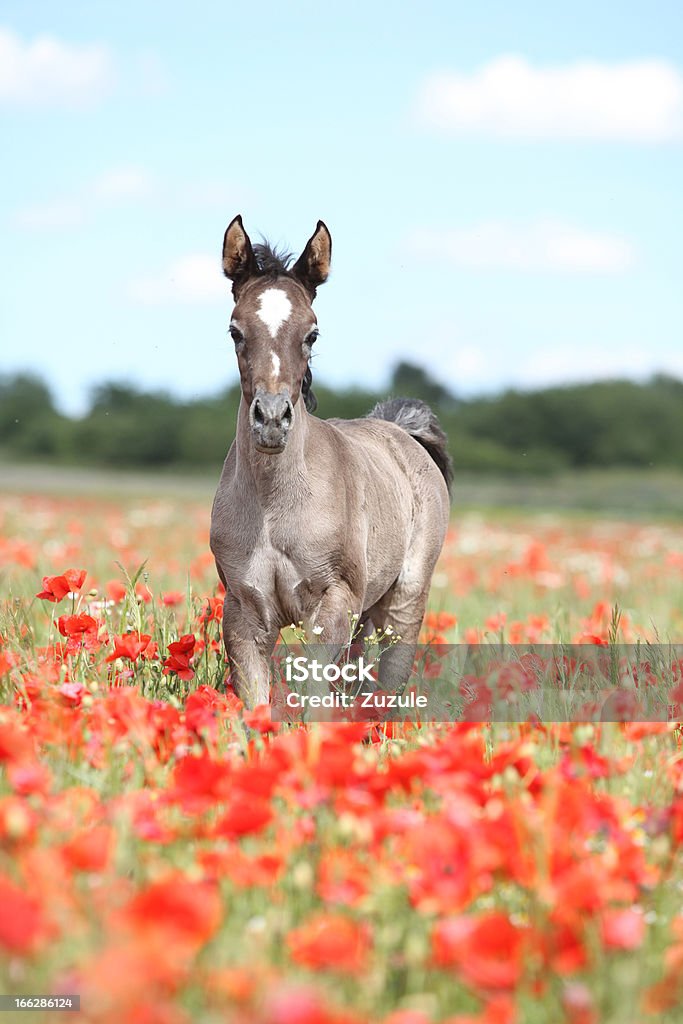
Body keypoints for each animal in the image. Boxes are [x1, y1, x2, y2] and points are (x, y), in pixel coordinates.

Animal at [210, 216, 450, 708]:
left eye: (312, 333)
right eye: (235, 331)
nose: (272, 420)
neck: (273, 508)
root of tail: (401, 431)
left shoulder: (332, 604)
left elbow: (318, 698)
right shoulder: (243, 611)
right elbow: (256, 704)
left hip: (404, 602)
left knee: (389, 685)